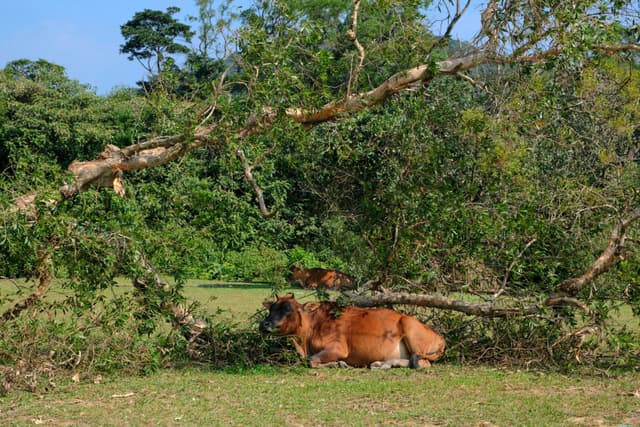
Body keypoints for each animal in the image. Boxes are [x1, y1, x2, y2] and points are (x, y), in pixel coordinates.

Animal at [259, 295, 445, 369]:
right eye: (272, 308)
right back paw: (381, 364)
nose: (264, 324)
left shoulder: (338, 349)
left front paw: (339, 364)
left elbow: (311, 361)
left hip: (410, 329)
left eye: (288, 310)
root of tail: (441, 338)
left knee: (423, 363)